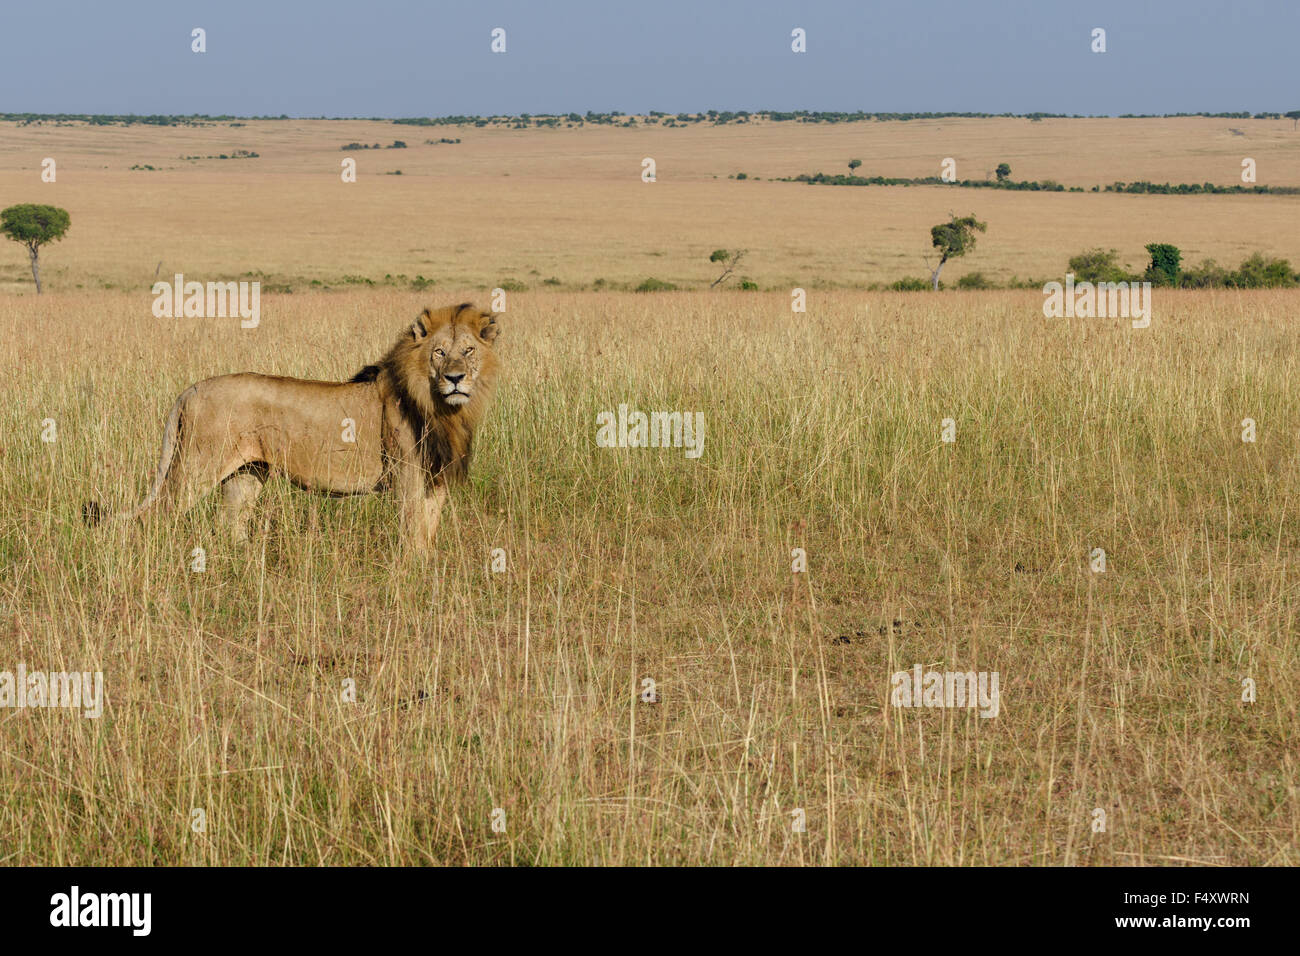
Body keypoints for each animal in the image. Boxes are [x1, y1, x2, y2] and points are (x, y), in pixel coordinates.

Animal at [85, 303, 501, 548]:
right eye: (439, 353)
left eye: (468, 350)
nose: (455, 378)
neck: (443, 410)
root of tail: (191, 389)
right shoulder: (407, 475)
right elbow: (413, 532)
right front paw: (411, 577)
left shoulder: (436, 478)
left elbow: (428, 531)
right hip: (195, 468)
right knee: (155, 515)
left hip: (246, 474)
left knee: (229, 524)